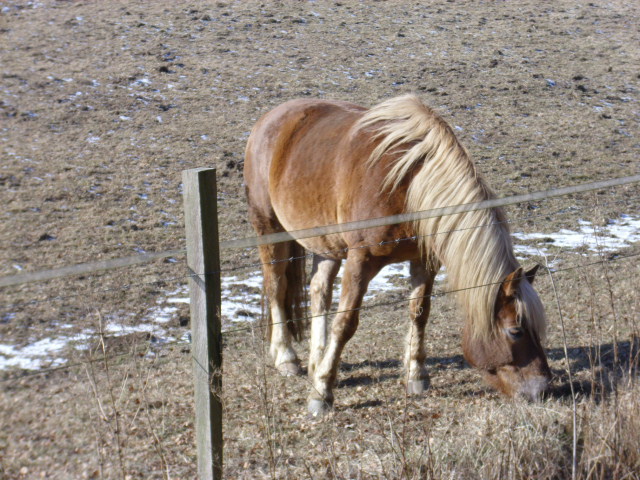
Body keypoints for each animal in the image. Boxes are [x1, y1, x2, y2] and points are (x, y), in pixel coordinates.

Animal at [242, 95, 552, 414]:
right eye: (516, 331)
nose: (542, 389)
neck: (408, 186)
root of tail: (271, 117)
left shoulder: (424, 261)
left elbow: (419, 312)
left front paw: (417, 375)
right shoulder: (361, 261)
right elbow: (345, 323)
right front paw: (322, 392)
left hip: (325, 243)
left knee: (319, 292)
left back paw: (316, 360)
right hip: (268, 227)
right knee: (276, 286)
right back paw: (287, 357)